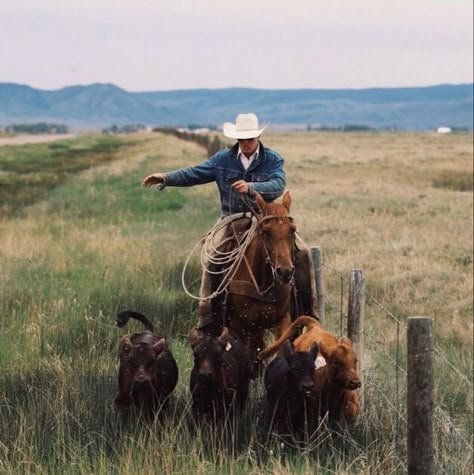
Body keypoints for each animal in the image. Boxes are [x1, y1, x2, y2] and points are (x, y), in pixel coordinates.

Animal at [225, 192, 296, 370]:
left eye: (293, 230)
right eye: (266, 231)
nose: (285, 272)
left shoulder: (283, 319)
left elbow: (279, 346)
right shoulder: (245, 325)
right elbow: (252, 355)